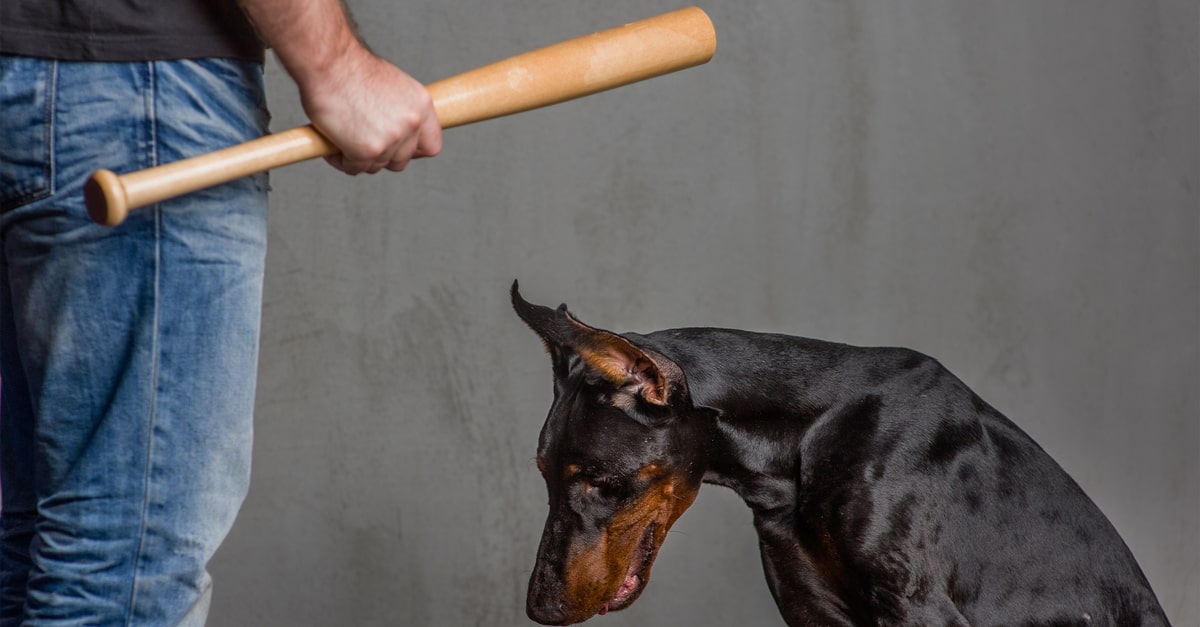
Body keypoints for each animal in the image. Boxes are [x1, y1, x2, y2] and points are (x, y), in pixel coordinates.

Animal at [511, 283, 1166, 624]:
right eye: (543, 474)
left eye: (601, 481)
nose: (541, 608)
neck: (802, 444)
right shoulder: (815, 611)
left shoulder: (917, 607)